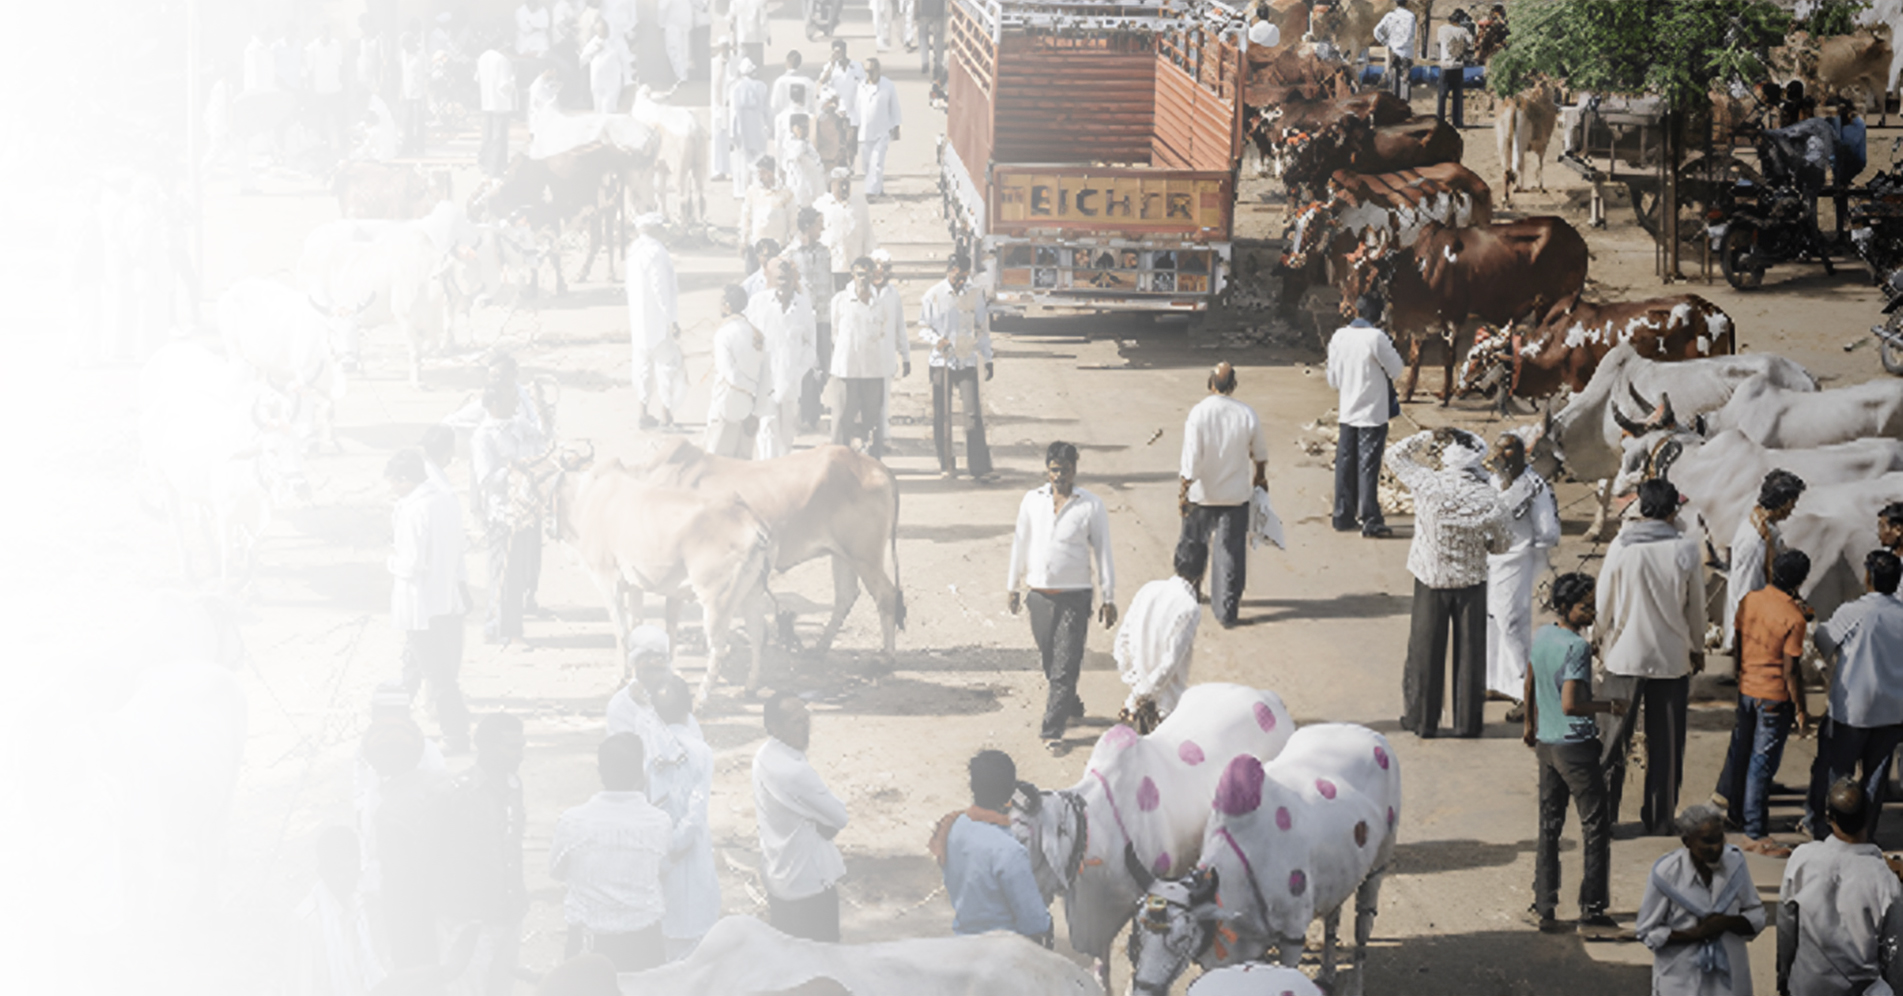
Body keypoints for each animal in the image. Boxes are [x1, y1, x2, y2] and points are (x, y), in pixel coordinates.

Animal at [549, 453, 776, 702]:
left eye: (553, 490)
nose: (550, 530)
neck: (589, 494)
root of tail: (750, 521)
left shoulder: (608, 581)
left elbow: (621, 631)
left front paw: (619, 679)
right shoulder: (635, 585)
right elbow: (635, 626)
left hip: (716, 601)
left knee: (719, 648)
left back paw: (700, 700)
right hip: (751, 594)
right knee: (756, 636)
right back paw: (750, 687)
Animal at [619, 438, 905, 661]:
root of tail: (875, 466)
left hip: (864, 557)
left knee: (885, 594)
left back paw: (886, 656)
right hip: (843, 554)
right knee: (846, 595)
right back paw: (820, 647)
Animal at [1126, 724, 1401, 996]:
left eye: (1182, 939)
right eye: (1138, 934)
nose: (1143, 991)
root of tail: (1371, 734)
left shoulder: (1293, 936)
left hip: (1379, 864)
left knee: (1363, 924)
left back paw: (1355, 985)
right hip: (1340, 875)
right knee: (1333, 917)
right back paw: (1327, 975)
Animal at [1337, 218, 1589, 403]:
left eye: (1365, 272)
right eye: (1348, 269)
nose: (1346, 308)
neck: (1418, 271)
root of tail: (1577, 240)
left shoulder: (1452, 319)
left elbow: (1448, 360)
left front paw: (1446, 396)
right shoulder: (1422, 324)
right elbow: (1415, 358)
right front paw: (1408, 394)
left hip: (1551, 305)